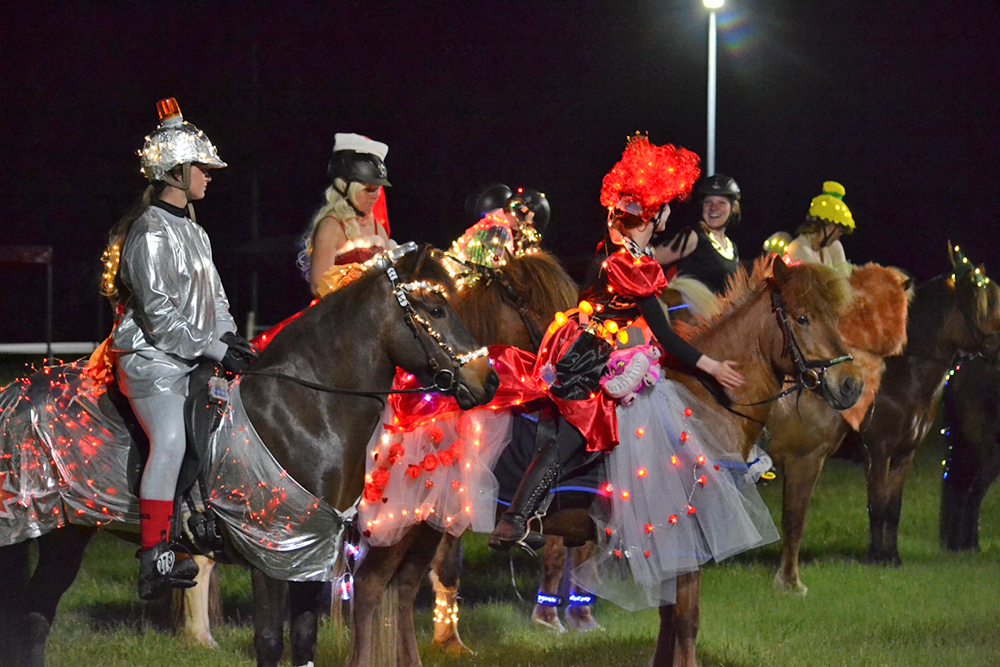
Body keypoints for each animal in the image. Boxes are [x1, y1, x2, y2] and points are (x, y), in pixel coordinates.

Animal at [0, 247, 498, 667]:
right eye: (436, 309)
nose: (488, 380)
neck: (305, 411)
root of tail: (14, 395)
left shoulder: (309, 555)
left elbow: (303, 641)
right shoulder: (270, 551)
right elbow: (270, 642)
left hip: (68, 533)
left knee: (33, 618)